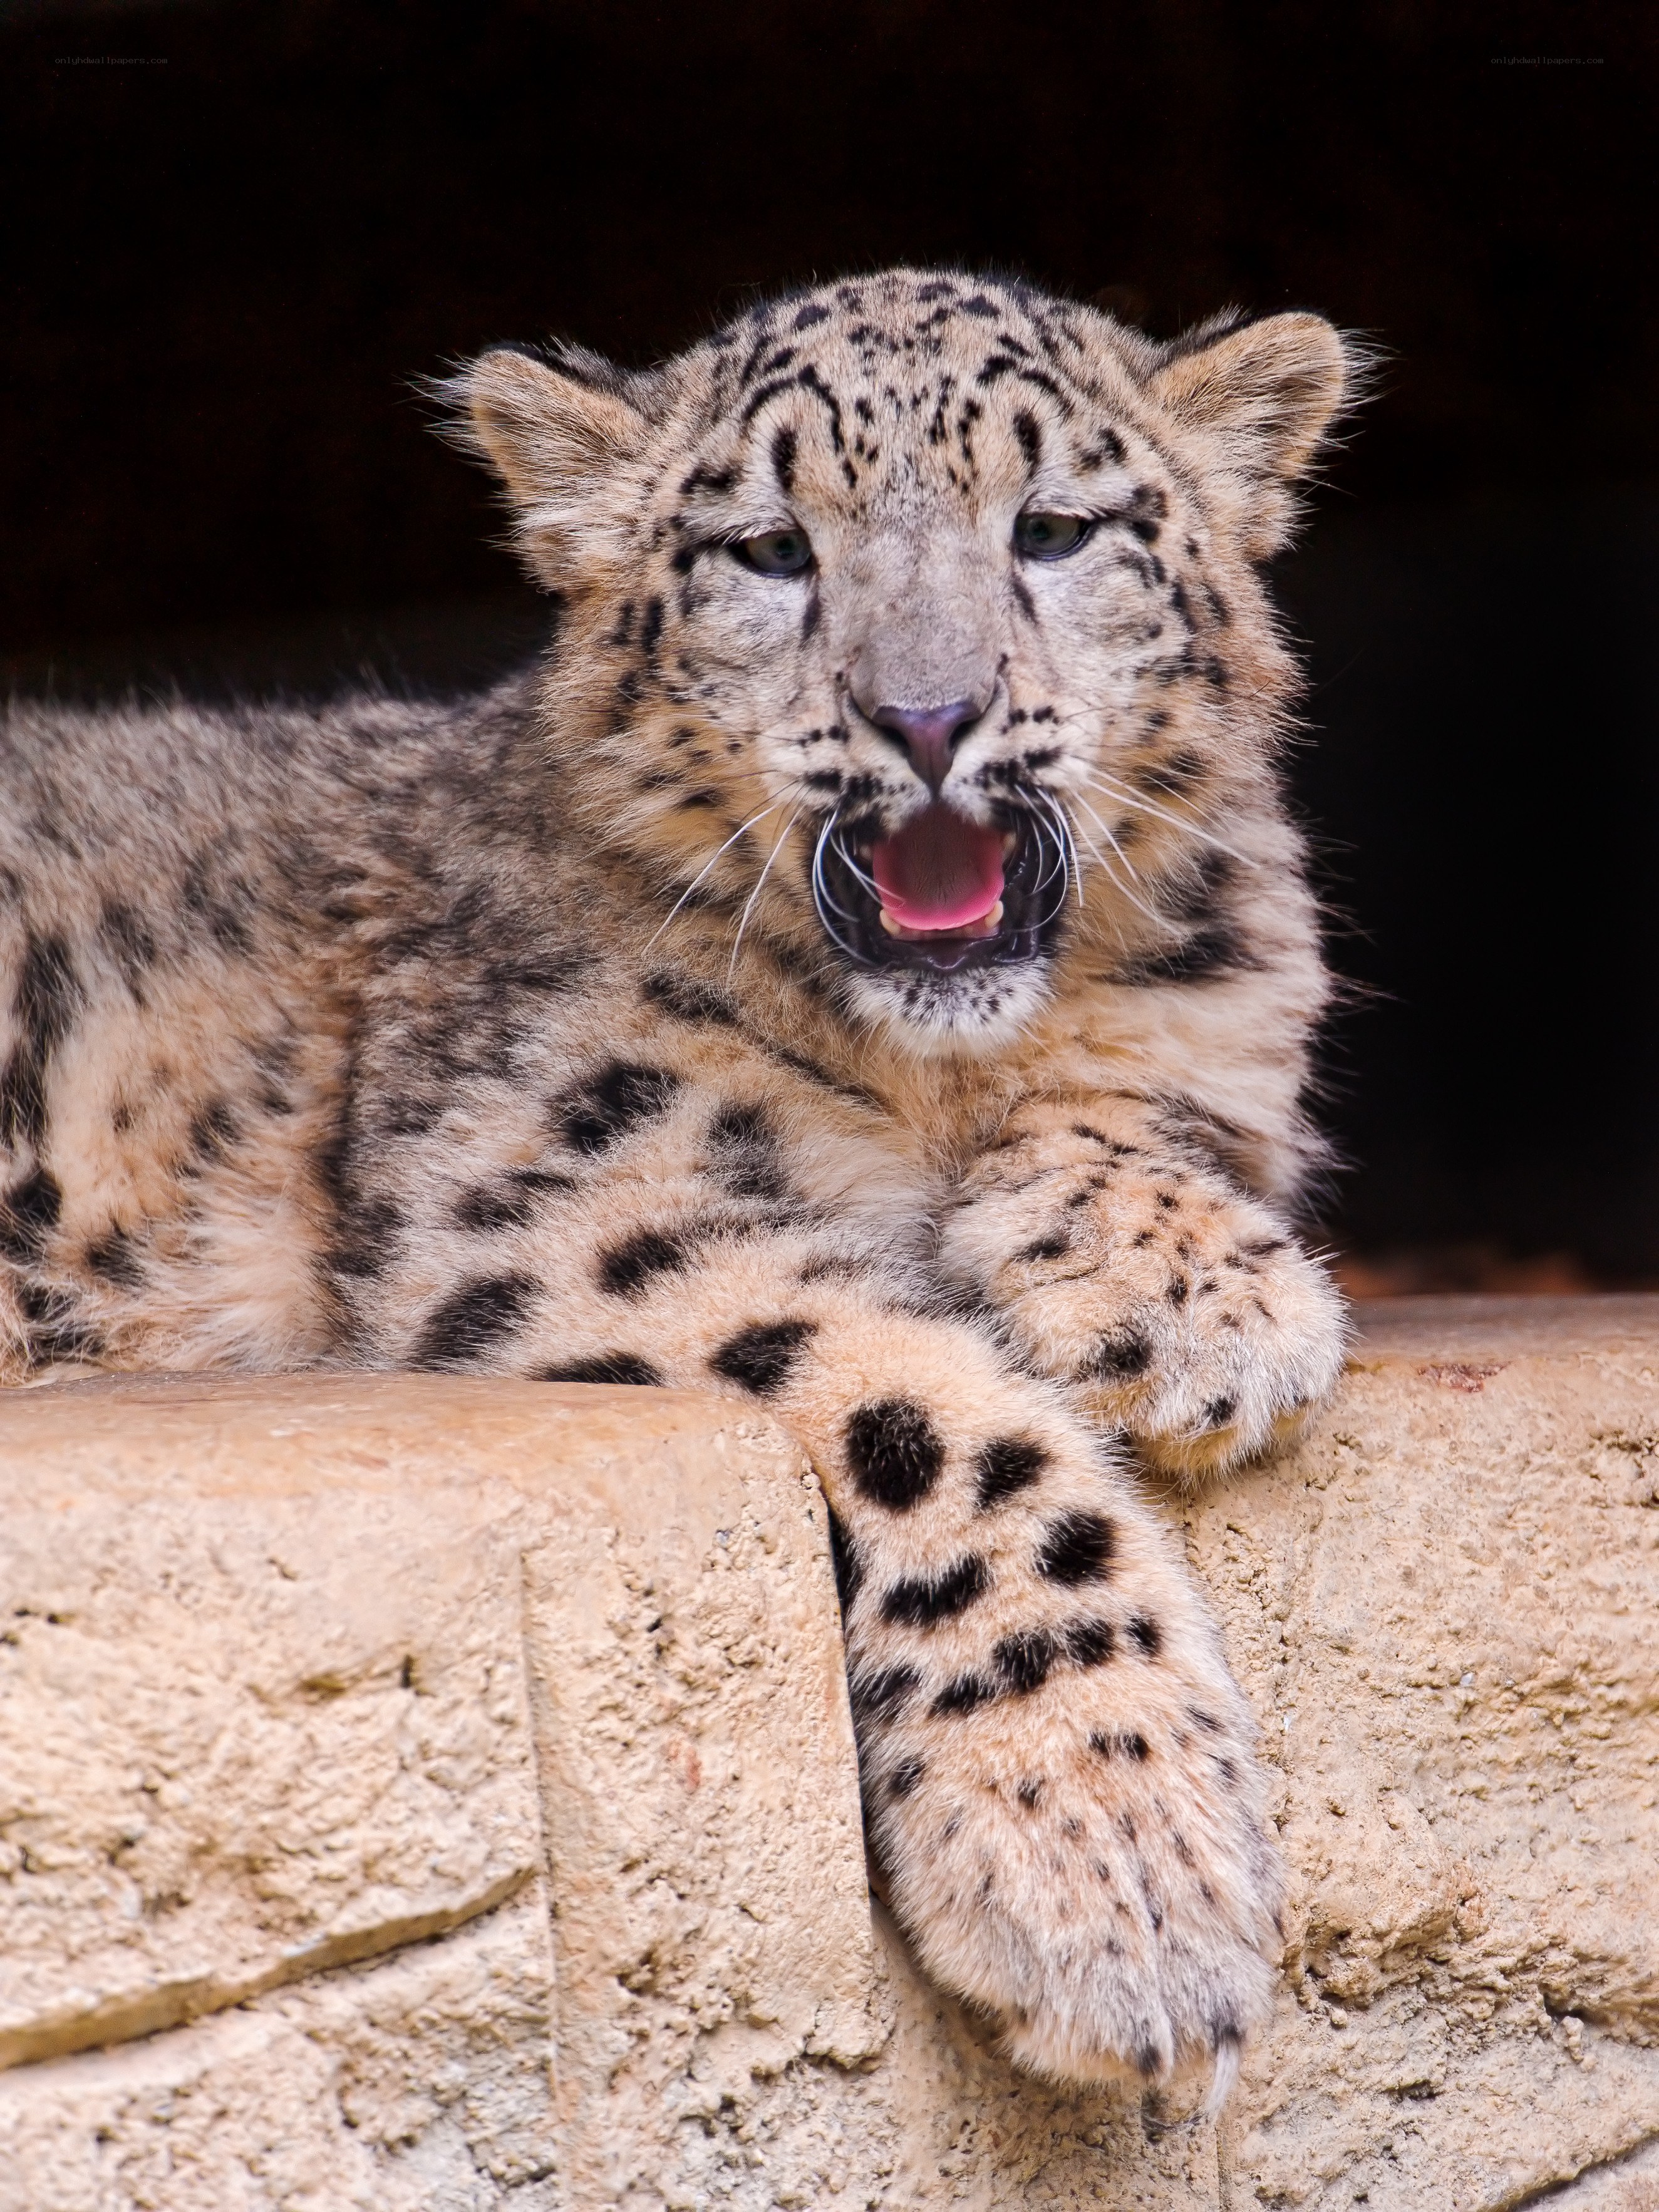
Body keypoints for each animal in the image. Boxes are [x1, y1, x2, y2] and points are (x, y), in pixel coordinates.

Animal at [0, 266, 1359, 2110]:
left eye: (1057, 527)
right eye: (771, 548)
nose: (926, 718)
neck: (936, 1070)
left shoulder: (1214, 1037)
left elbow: (1153, 1105)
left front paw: (1195, 1298)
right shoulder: (548, 1180)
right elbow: (925, 1407)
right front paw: (1116, 1869)